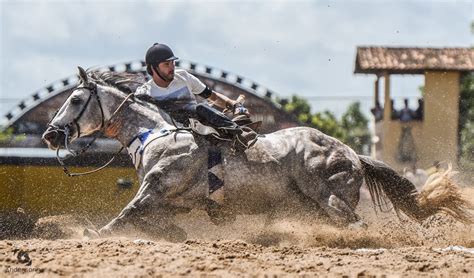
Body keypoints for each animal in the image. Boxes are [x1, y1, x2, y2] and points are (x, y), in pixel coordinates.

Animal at [42, 67, 472, 241]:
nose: (49, 134)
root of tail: (352, 153)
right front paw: (173, 234)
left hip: (329, 198)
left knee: (357, 226)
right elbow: (154, 223)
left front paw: (91, 232)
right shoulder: (172, 203)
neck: (159, 134)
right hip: (308, 206)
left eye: (76, 99)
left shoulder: (158, 188)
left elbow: (125, 215)